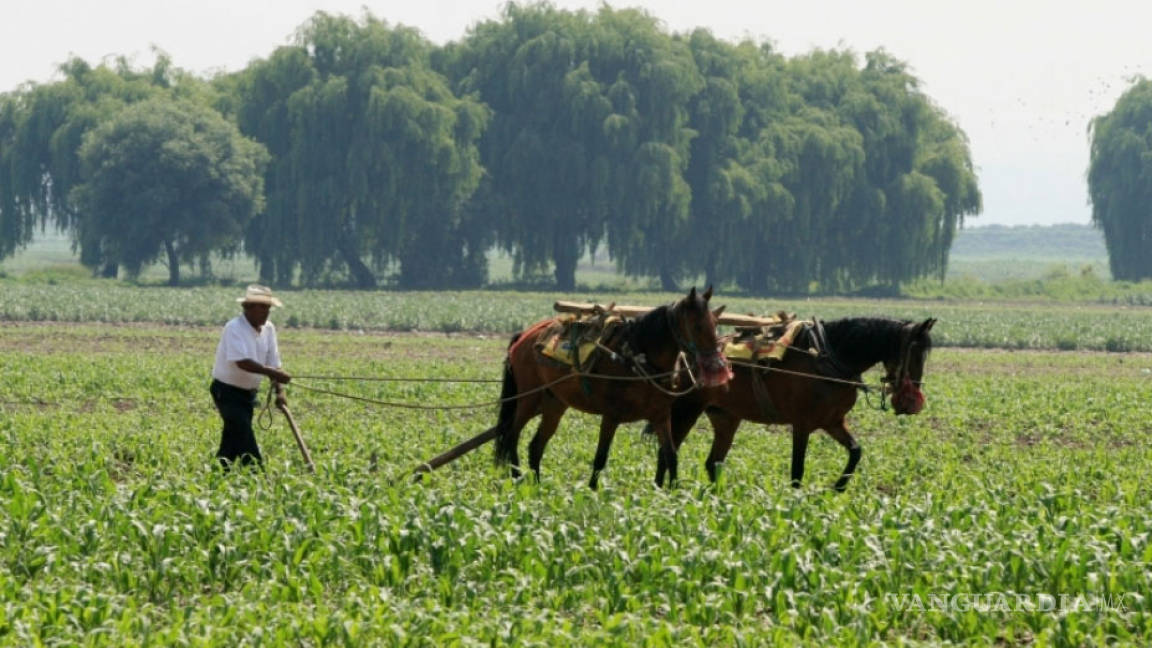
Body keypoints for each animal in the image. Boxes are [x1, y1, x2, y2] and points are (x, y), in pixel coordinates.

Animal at [493, 284, 732, 486]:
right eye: (697, 325)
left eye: (716, 324)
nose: (717, 366)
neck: (637, 358)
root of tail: (525, 335)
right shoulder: (611, 416)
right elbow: (600, 458)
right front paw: (592, 493)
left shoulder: (661, 416)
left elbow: (670, 456)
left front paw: (672, 493)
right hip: (528, 398)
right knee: (511, 436)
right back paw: (517, 479)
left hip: (554, 403)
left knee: (536, 446)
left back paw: (538, 486)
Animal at [658, 315, 935, 486]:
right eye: (913, 352)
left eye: (926, 354)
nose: (911, 402)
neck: (827, 357)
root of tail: (684, 356)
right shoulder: (802, 424)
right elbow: (797, 471)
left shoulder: (833, 421)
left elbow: (856, 451)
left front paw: (839, 487)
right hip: (686, 409)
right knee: (667, 452)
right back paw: (665, 492)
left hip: (725, 417)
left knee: (712, 462)